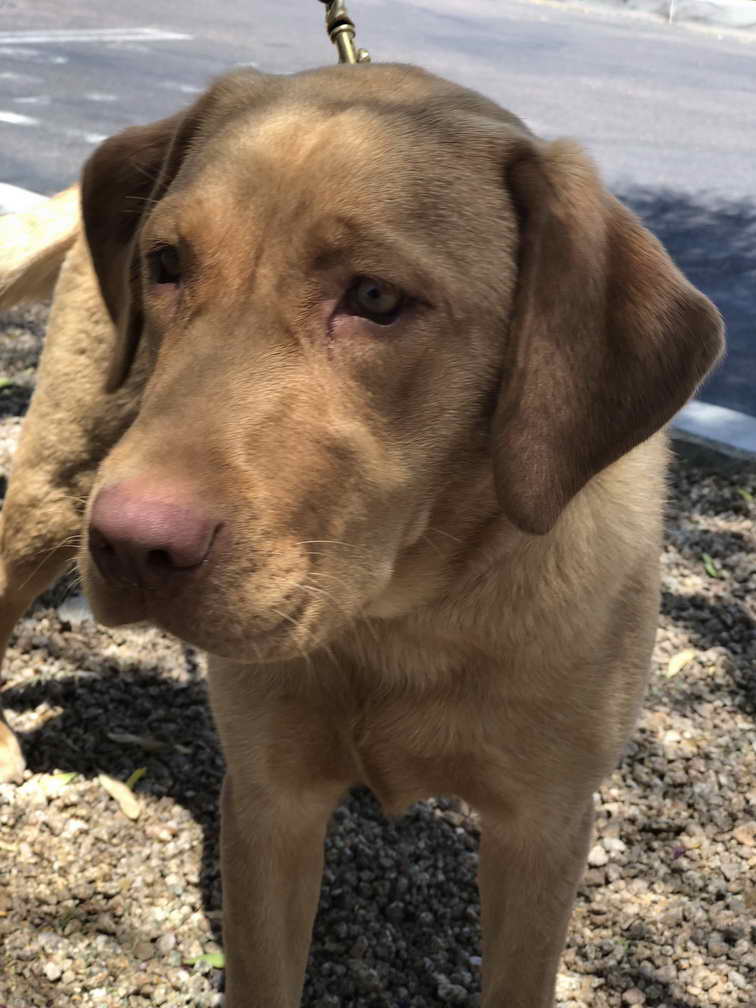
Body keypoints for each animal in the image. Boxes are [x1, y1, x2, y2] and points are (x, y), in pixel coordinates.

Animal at [0, 65, 721, 1008]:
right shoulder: (269, 802)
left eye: (376, 297)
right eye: (166, 265)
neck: (405, 617)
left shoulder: (544, 831)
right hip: (58, 487)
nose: (133, 546)